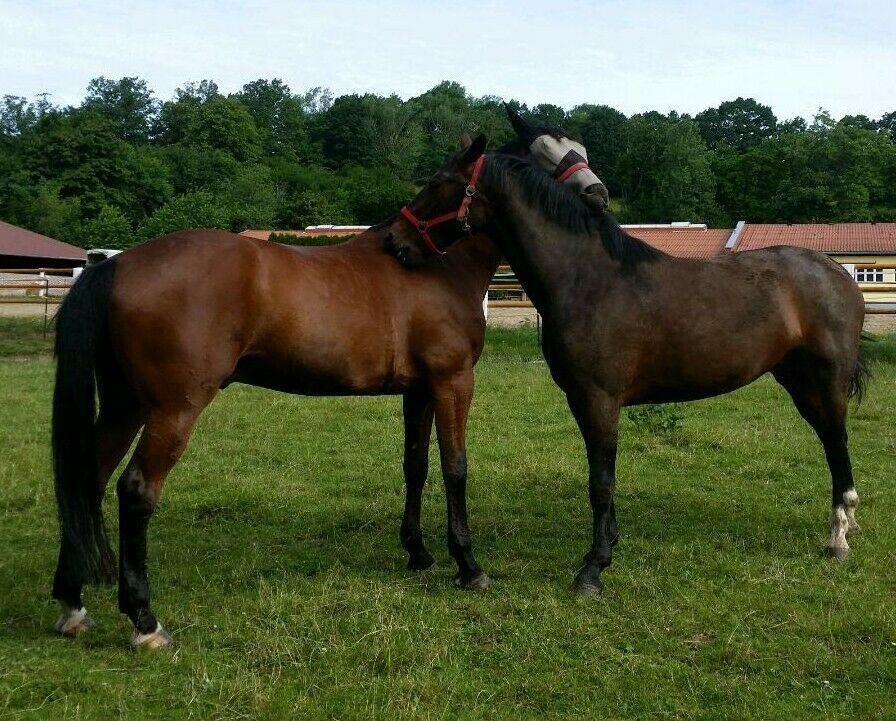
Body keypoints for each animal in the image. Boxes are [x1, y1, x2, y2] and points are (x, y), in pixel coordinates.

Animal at [52, 219, 500, 648]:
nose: (400, 242)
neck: (441, 268)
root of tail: (114, 266)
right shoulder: (451, 383)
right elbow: (455, 468)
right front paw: (468, 566)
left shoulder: (419, 390)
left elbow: (416, 466)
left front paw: (418, 552)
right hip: (171, 411)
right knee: (137, 490)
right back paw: (144, 620)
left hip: (123, 405)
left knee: (87, 481)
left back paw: (73, 604)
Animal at [384, 135, 868, 596]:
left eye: (437, 183)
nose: (394, 240)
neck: (587, 278)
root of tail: (839, 273)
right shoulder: (583, 400)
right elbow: (602, 476)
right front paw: (609, 546)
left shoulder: (599, 398)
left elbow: (600, 482)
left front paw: (592, 569)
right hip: (796, 379)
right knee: (830, 440)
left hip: (825, 380)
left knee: (838, 442)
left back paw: (839, 537)